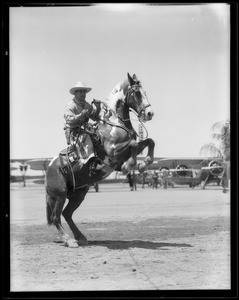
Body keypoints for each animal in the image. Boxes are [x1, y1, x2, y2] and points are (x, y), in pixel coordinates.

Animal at [45, 72, 156, 246]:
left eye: (145, 92)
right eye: (137, 93)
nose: (150, 113)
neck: (113, 124)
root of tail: (49, 167)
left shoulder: (125, 153)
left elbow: (149, 142)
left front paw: (143, 164)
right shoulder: (113, 152)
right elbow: (133, 144)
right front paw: (129, 166)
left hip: (78, 194)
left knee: (67, 214)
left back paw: (81, 237)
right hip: (59, 195)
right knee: (56, 217)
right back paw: (69, 240)